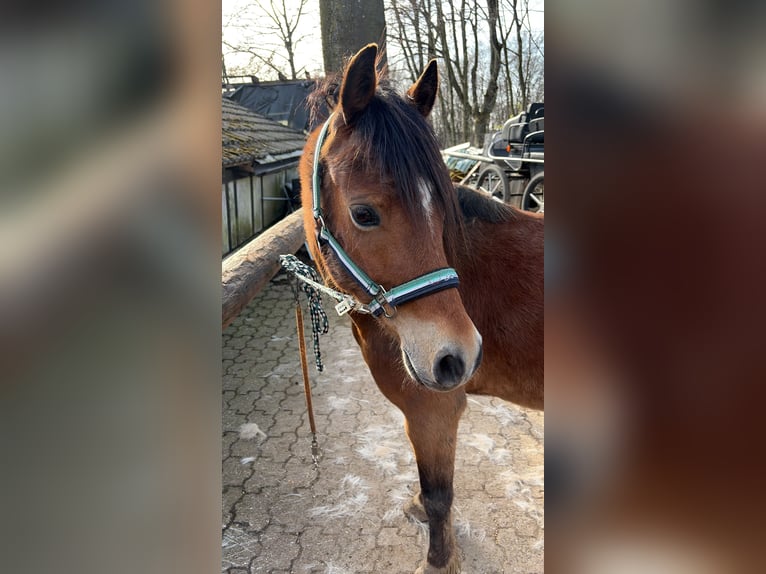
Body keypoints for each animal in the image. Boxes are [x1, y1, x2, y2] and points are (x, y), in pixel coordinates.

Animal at [299, 44, 544, 574]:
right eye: (363, 213)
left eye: (441, 205)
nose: (458, 357)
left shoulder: (435, 408)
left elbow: (439, 497)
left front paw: (438, 559)